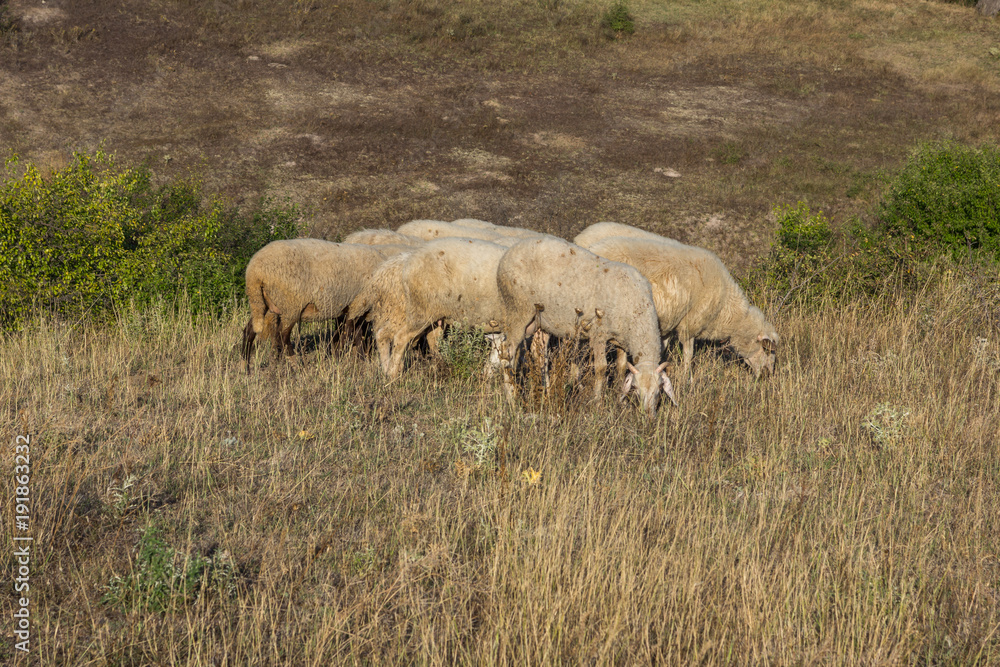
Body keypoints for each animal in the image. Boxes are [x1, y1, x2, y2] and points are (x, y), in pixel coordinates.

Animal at [241, 239, 412, 371]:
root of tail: (254, 273)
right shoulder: (358, 304)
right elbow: (349, 334)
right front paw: (341, 359)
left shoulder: (352, 309)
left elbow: (353, 334)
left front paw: (359, 358)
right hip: (291, 305)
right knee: (283, 336)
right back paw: (296, 365)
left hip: (262, 302)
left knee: (249, 331)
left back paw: (246, 368)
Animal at [346, 238, 509, 378]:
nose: (485, 376)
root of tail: (405, 261)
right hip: (420, 311)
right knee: (398, 337)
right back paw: (392, 374)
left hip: (420, 314)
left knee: (391, 335)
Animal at [497, 236, 677, 419]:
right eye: (636, 389)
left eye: (659, 390)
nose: (649, 416)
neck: (637, 310)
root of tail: (510, 251)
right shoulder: (599, 334)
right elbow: (601, 368)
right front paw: (597, 402)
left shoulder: (621, 340)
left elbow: (620, 367)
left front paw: (620, 400)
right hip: (517, 309)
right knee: (507, 352)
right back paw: (512, 398)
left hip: (541, 320)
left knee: (537, 352)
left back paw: (545, 391)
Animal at [583, 235, 779, 379]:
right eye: (766, 349)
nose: (768, 375)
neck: (727, 310)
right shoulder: (689, 325)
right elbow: (688, 354)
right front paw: (686, 378)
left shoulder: (668, 324)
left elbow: (662, 350)